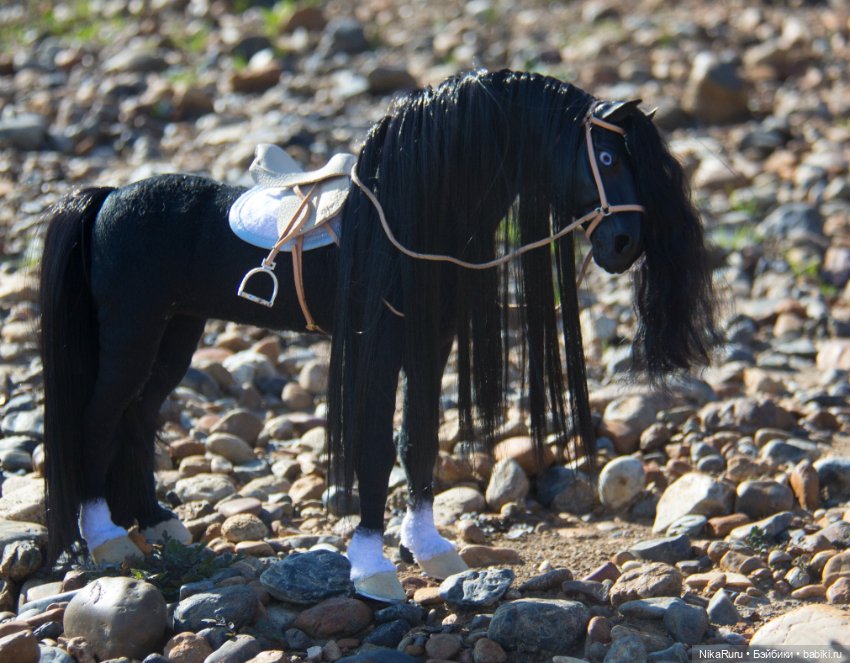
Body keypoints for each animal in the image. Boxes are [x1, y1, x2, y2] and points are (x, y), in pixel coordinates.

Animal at [39, 69, 719, 602]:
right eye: (605, 159)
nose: (625, 245)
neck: (415, 217)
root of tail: (106, 198)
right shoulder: (379, 347)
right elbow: (371, 449)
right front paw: (372, 568)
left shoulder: (432, 346)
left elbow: (418, 440)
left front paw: (430, 547)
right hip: (133, 331)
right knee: (100, 417)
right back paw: (106, 541)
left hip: (176, 332)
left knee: (138, 416)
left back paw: (155, 523)